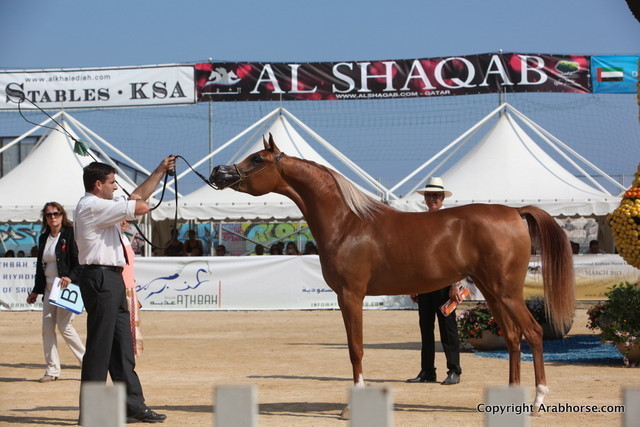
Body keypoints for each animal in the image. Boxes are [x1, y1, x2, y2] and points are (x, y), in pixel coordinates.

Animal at [210, 134, 576, 414]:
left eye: (257, 158)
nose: (218, 171)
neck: (348, 222)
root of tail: (515, 212)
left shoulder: (351, 295)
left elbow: (355, 348)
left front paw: (350, 406)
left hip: (506, 291)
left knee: (533, 333)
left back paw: (538, 399)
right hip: (491, 290)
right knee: (513, 337)